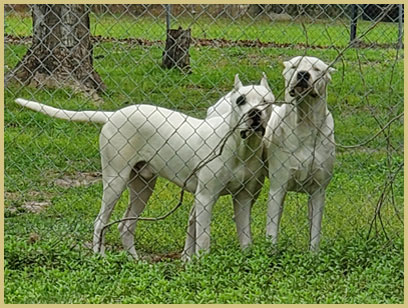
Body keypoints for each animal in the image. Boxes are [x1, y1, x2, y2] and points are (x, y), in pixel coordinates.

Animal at [16, 74, 278, 260]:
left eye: (266, 102)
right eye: (241, 100)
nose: (255, 114)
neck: (241, 146)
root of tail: (113, 114)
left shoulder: (243, 199)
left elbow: (245, 237)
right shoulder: (205, 198)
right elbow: (203, 240)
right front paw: (202, 266)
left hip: (142, 187)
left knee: (126, 226)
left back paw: (135, 261)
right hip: (115, 181)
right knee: (100, 222)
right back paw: (100, 257)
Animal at [262, 56, 336, 250]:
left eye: (317, 69)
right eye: (294, 66)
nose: (303, 74)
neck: (305, 124)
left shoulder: (318, 191)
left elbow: (315, 232)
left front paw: (313, 255)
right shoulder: (278, 188)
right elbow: (272, 231)